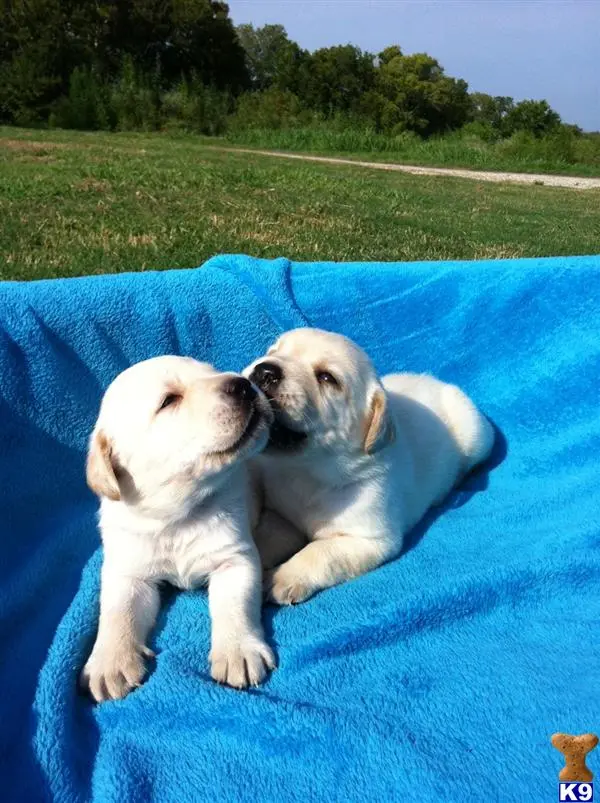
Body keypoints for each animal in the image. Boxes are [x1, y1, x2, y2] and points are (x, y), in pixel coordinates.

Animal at [81, 354, 276, 700]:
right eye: (169, 400)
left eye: (212, 372)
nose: (243, 383)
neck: (179, 516)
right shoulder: (129, 571)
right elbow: (117, 613)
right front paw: (110, 661)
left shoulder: (235, 559)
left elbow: (235, 605)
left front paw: (238, 649)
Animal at [244, 326, 492, 604]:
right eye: (274, 351)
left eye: (327, 378)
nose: (264, 370)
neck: (309, 471)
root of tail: (438, 381)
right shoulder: (280, 513)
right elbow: (269, 535)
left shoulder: (370, 539)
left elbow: (321, 553)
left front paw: (283, 577)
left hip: (477, 436)